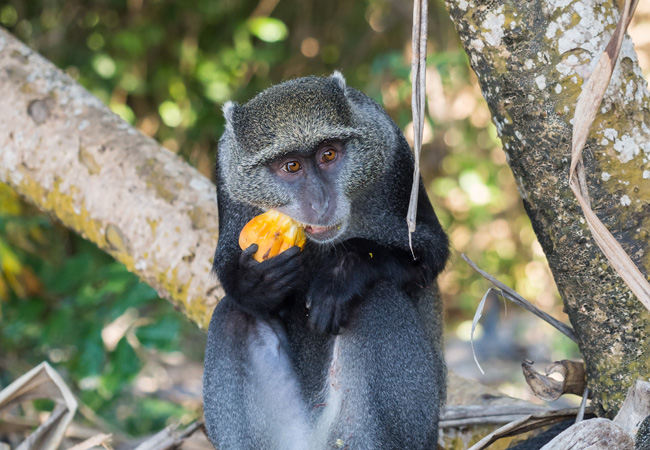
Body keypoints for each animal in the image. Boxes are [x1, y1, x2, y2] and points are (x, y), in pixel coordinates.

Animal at [201, 72, 446, 448]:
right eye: (291, 165)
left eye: (328, 154)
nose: (320, 203)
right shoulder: (228, 177)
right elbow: (230, 270)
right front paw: (255, 282)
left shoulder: (396, 158)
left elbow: (430, 253)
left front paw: (343, 273)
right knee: (233, 314)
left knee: (377, 298)